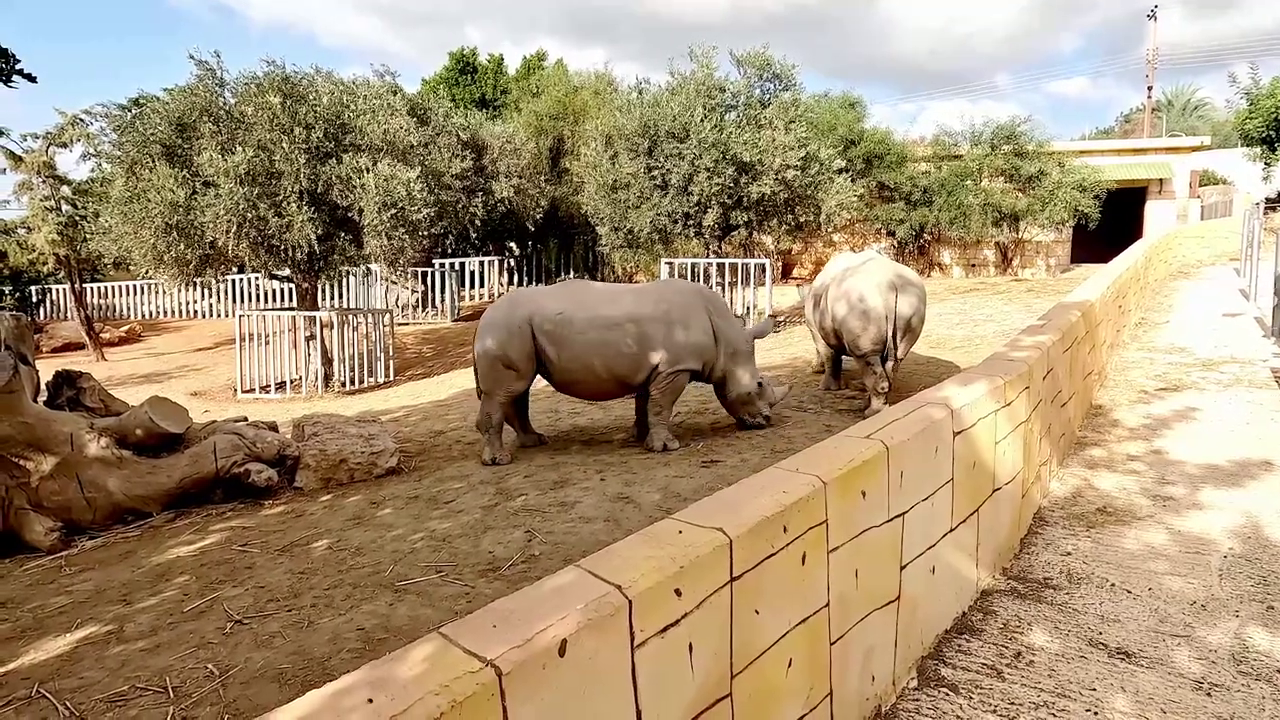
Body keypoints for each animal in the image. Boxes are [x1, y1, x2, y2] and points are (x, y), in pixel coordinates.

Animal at [471, 278, 791, 465]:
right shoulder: (676, 367)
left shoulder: (656, 366)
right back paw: (500, 460)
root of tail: (484, 317)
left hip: (514, 329)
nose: (765, 422)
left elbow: (646, 402)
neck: (727, 341)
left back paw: (534, 442)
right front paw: (667, 447)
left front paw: (641, 437)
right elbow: (662, 404)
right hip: (506, 327)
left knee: (517, 389)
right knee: (507, 390)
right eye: (758, 385)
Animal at [799, 249, 927, 417]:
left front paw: (826, 388)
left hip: (860, 303)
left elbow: (829, 356)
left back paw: (870, 413)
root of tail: (888, 287)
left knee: (867, 357)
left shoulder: (815, 331)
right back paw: (875, 408)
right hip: (910, 299)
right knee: (896, 358)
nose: (813, 369)